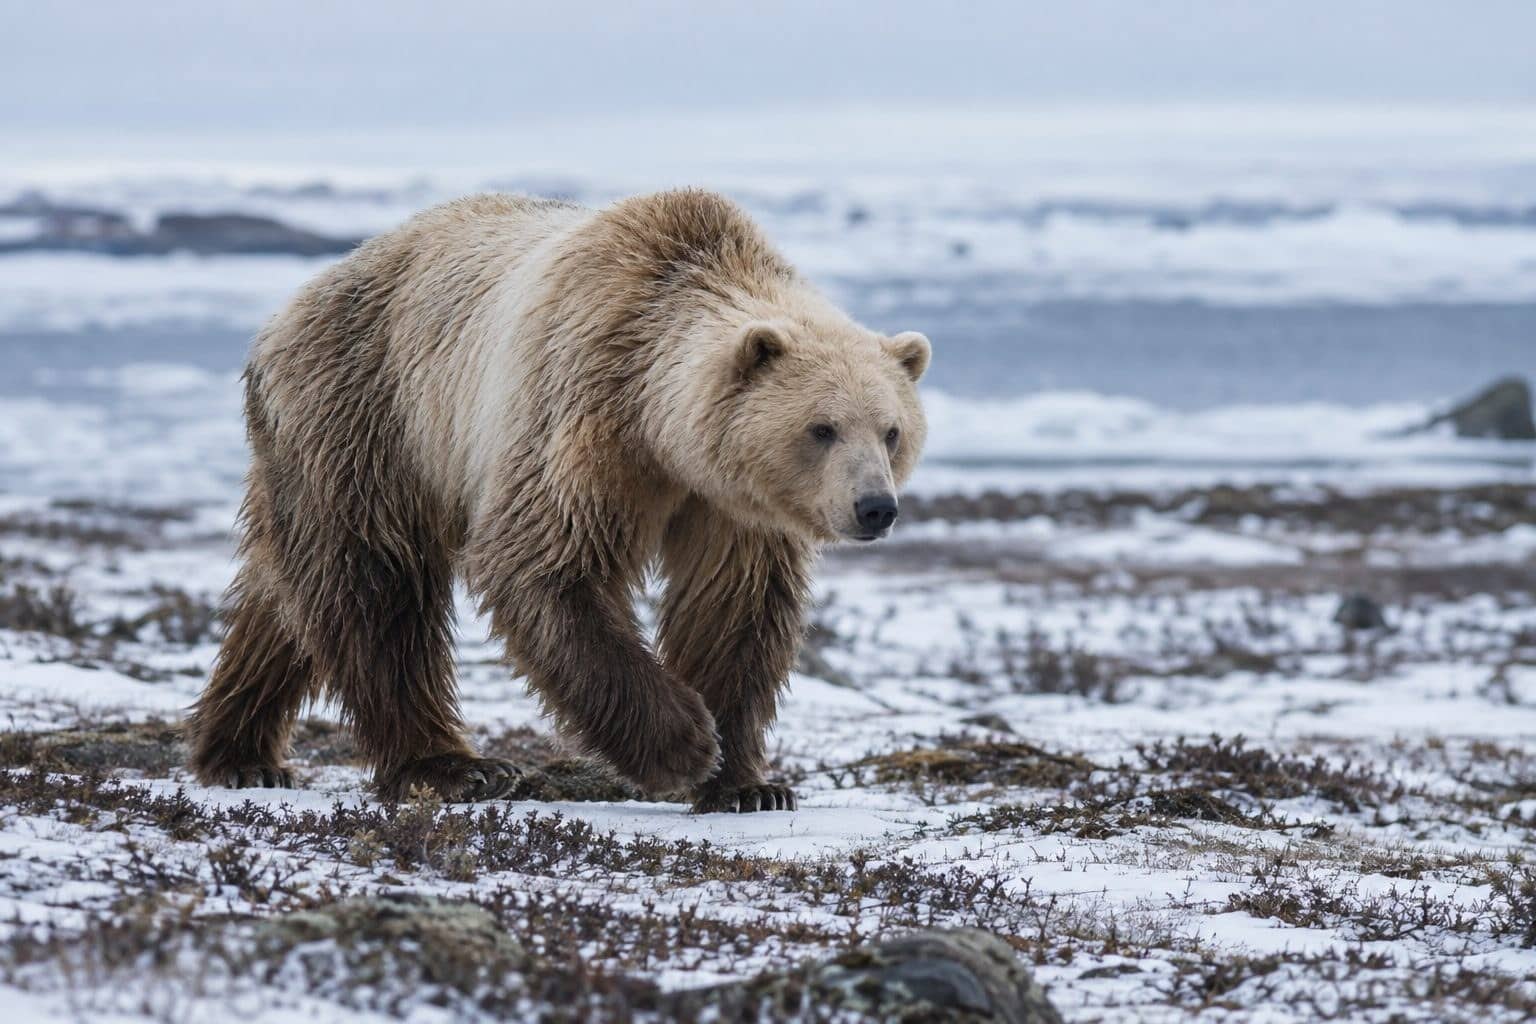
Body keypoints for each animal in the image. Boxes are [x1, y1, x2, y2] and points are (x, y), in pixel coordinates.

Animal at [185, 189, 930, 813]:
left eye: (891, 430)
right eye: (822, 428)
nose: (875, 507)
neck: (661, 429)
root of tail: (285, 313)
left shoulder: (731, 504)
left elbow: (735, 608)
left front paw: (748, 782)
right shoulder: (582, 410)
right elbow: (545, 565)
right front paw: (685, 744)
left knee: (288, 596)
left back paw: (240, 750)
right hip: (370, 414)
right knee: (376, 586)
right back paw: (452, 766)